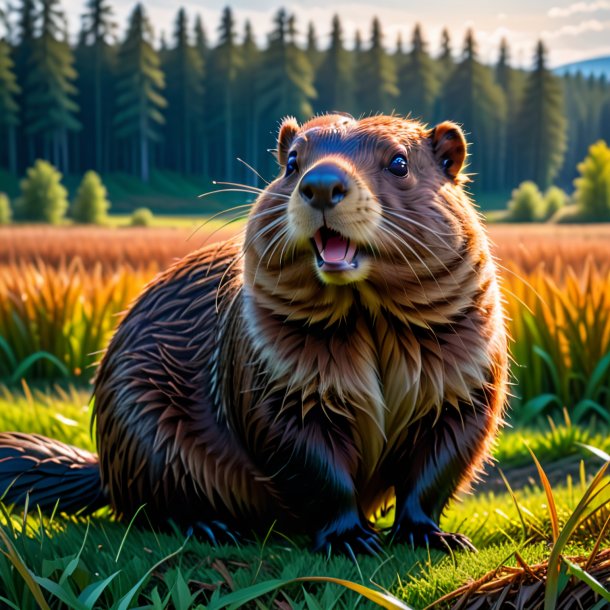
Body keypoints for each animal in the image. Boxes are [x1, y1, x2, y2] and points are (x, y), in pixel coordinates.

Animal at [0, 114, 504, 556]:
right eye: (292, 161)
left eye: (399, 162)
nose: (322, 185)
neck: (368, 318)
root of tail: (102, 469)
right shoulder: (270, 370)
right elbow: (308, 461)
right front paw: (350, 539)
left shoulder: (467, 375)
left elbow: (441, 461)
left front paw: (435, 537)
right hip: (142, 429)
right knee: (148, 506)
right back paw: (214, 526)